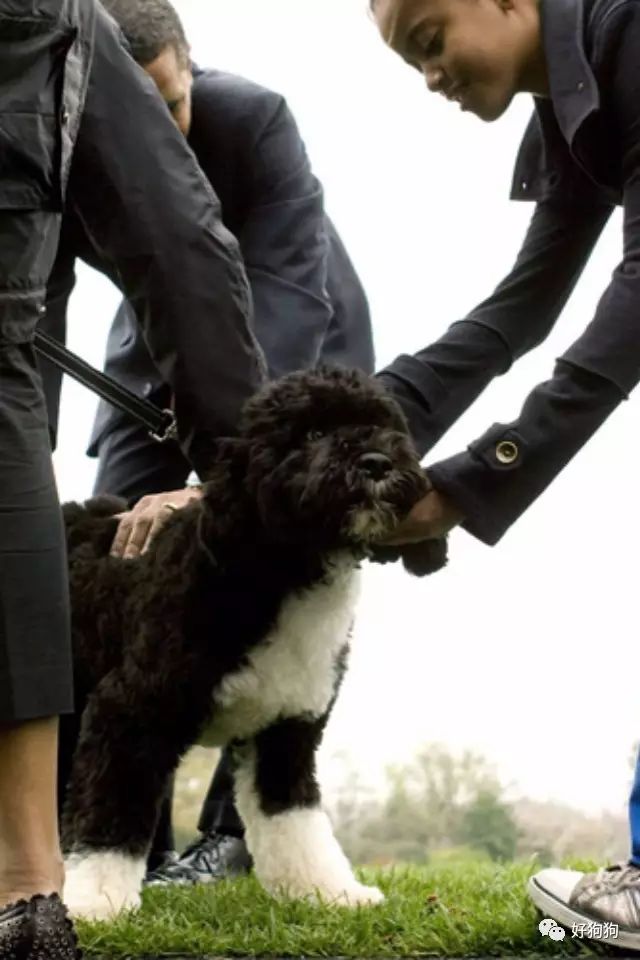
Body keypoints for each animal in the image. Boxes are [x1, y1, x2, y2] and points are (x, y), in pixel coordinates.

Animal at [58, 364, 444, 920]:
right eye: (312, 433)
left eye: (383, 425)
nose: (377, 462)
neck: (281, 567)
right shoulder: (129, 711)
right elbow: (110, 817)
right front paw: (96, 904)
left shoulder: (288, 729)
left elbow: (294, 820)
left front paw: (329, 891)